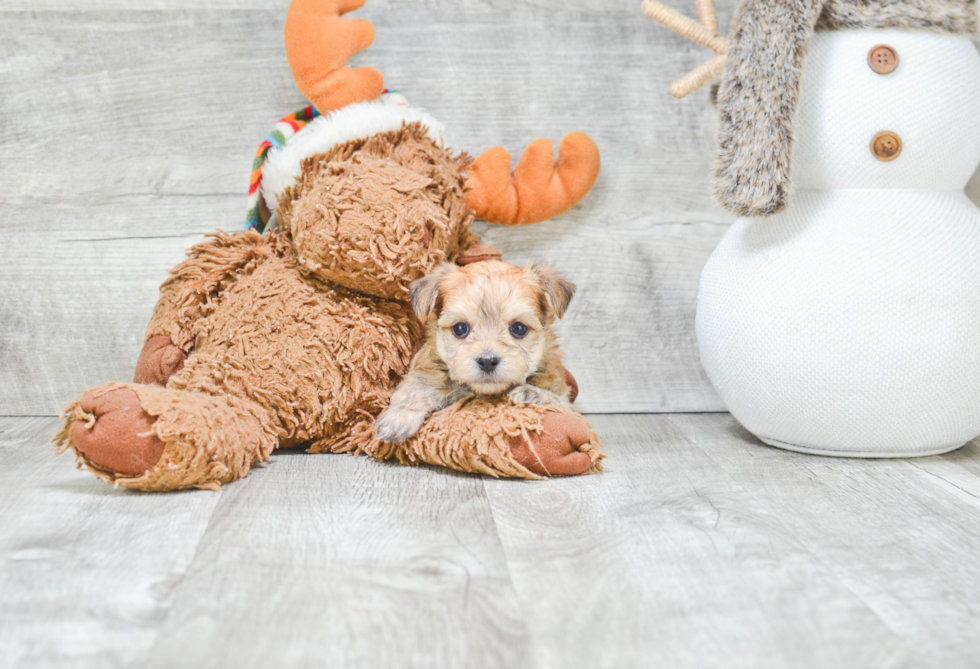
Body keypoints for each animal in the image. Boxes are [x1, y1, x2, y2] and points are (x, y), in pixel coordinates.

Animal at [374, 260, 576, 444]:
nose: (487, 361)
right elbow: (415, 390)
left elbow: (558, 402)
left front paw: (532, 395)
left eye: (519, 328)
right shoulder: (427, 373)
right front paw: (398, 418)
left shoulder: (565, 401)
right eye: (460, 328)